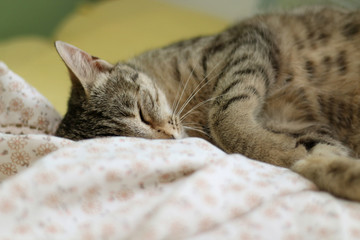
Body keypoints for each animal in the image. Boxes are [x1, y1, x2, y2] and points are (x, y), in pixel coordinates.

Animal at [54, 5, 360, 201]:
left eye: (141, 113)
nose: (169, 138)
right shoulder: (306, 128)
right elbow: (315, 157)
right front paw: (313, 162)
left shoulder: (246, 44)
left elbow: (225, 118)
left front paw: (283, 152)